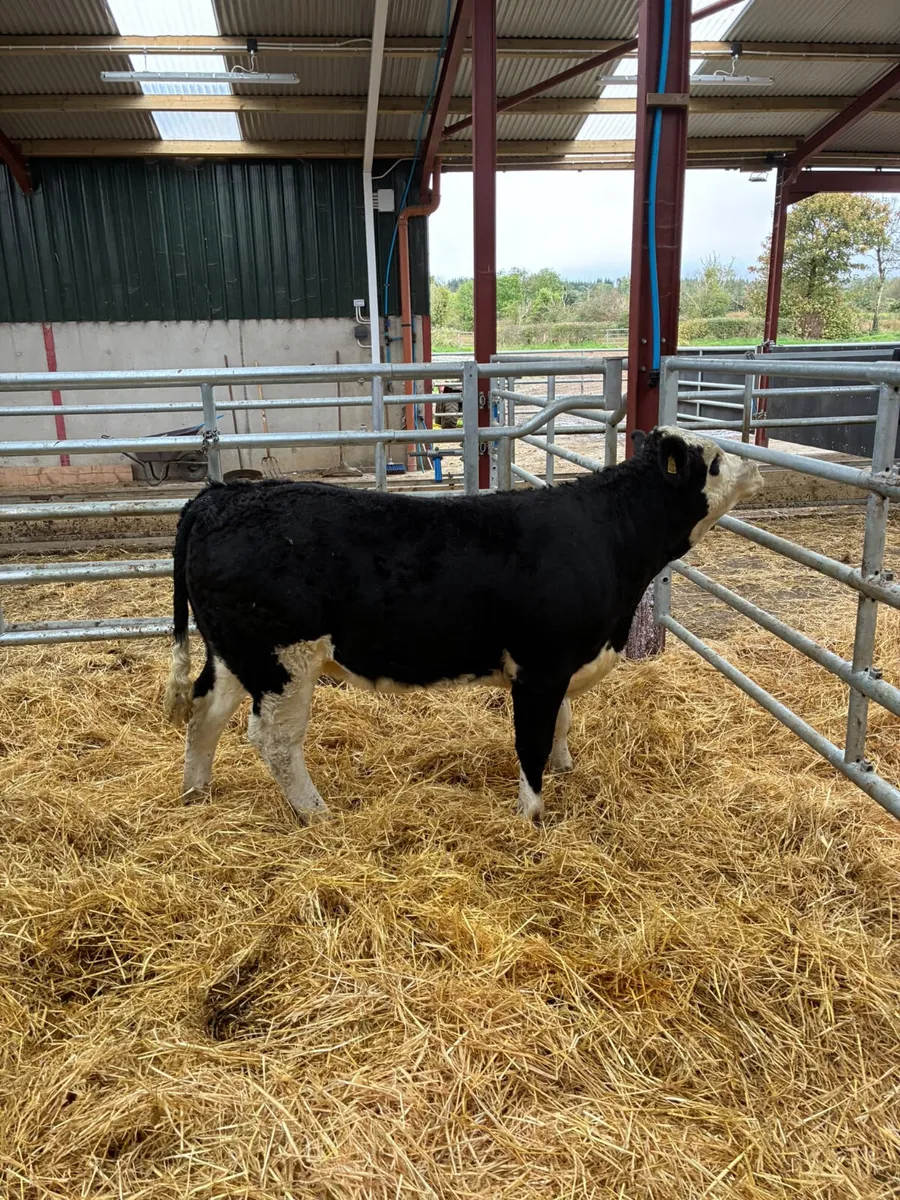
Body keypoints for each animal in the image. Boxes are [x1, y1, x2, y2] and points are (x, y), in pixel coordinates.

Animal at [163, 427, 762, 823]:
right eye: (711, 462)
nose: (754, 466)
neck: (609, 537)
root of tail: (223, 494)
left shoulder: (561, 666)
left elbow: (562, 724)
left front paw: (566, 769)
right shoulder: (539, 668)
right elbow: (532, 740)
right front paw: (533, 815)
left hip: (235, 654)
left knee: (204, 712)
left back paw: (197, 793)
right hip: (284, 662)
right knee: (275, 739)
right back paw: (317, 812)